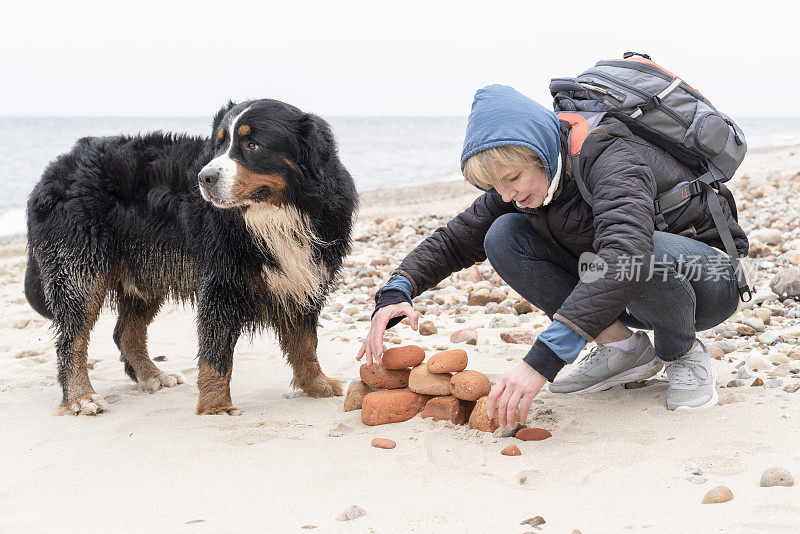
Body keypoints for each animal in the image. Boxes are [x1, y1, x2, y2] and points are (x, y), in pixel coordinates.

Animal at [25, 100, 356, 418]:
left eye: (253, 145)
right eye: (219, 145)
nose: (204, 178)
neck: (276, 213)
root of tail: (55, 167)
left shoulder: (303, 277)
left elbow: (305, 342)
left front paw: (317, 385)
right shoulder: (222, 283)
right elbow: (215, 354)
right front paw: (215, 407)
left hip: (147, 270)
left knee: (126, 333)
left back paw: (152, 375)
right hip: (79, 271)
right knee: (72, 341)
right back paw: (81, 397)